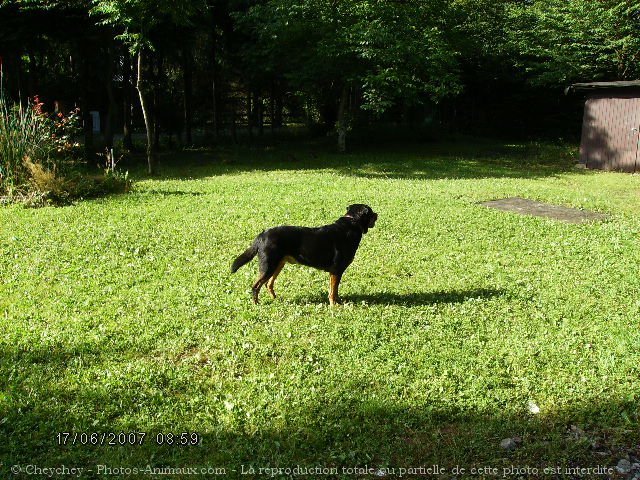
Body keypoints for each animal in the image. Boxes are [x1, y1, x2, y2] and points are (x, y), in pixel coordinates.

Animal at [232, 203, 378, 304]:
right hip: (268, 265)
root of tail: (261, 235)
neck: (352, 223)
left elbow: (335, 290)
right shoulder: (336, 270)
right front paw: (334, 305)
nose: (377, 214)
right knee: (256, 286)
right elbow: (332, 291)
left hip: (278, 264)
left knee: (269, 284)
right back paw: (256, 303)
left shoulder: (336, 272)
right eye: (371, 212)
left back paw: (275, 299)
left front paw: (338, 302)